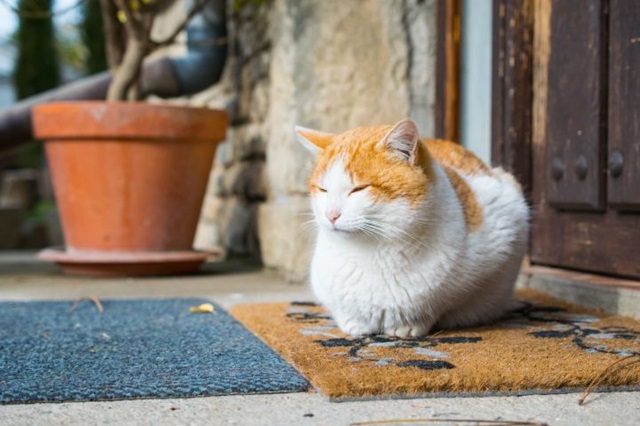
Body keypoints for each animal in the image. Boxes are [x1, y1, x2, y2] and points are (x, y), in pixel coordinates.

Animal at [296, 118, 528, 338]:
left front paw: (409, 324)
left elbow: (441, 304)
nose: (331, 215)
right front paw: (355, 323)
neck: (372, 251)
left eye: (359, 189)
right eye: (323, 190)